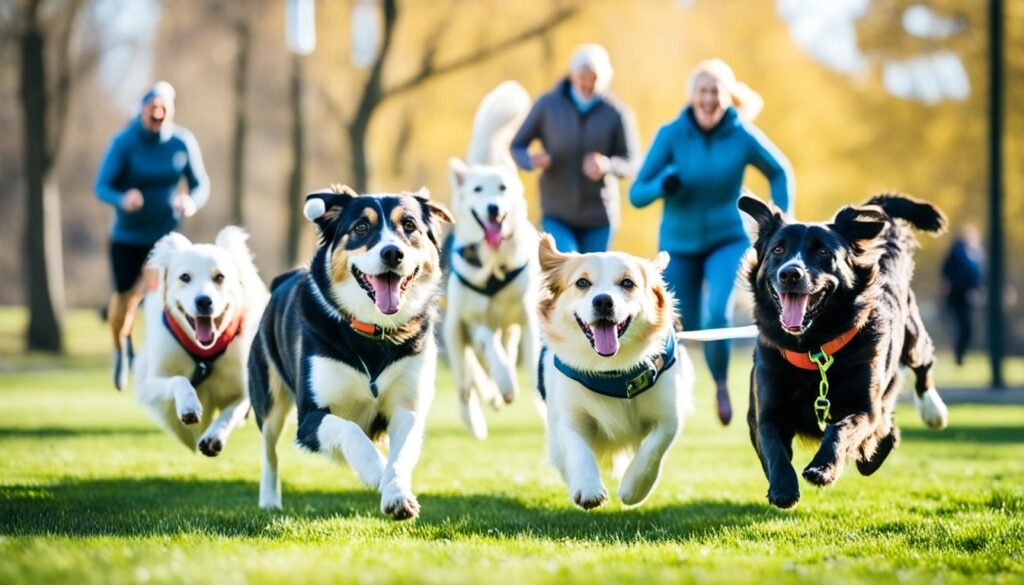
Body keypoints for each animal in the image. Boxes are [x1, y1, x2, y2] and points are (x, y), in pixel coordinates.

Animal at [135, 227, 268, 456]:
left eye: (220, 277)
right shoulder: (150, 383)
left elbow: (232, 412)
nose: (204, 301)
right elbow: (179, 380)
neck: (204, 352)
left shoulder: (245, 385)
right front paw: (189, 406)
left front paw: (214, 437)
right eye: (185, 277)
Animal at [247, 185, 452, 520]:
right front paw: (375, 471)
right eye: (361, 227)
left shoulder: (407, 406)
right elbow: (350, 430)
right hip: (268, 399)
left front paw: (395, 491)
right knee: (269, 451)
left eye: (409, 226)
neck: (373, 331)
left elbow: (400, 454)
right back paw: (269, 500)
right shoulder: (309, 418)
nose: (392, 252)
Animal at [446, 78, 544, 438]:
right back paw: (476, 415)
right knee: (465, 381)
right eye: (477, 190)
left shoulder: (528, 319)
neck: (493, 264)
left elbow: (532, 360)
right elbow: (490, 349)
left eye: (502, 188)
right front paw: (504, 383)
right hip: (453, 331)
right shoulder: (475, 320)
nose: (493, 208)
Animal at [536, 235, 696, 510]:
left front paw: (634, 488)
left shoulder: (669, 415)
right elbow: (576, 446)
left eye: (627, 283)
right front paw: (588, 487)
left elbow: (653, 449)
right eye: (582, 282)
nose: (603, 301)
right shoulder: (567, 416)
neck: (611, 371)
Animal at [741, 194, 946, 510]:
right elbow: (773, 444)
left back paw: (932, 409)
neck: (813, 349)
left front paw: (822, 468)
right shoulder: (766, 409)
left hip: (913, 341)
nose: (790, 273)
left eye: (823, 251)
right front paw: (783, 487)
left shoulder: (864, 407)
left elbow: (841, 430)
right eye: (778, 249)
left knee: (923, 365)